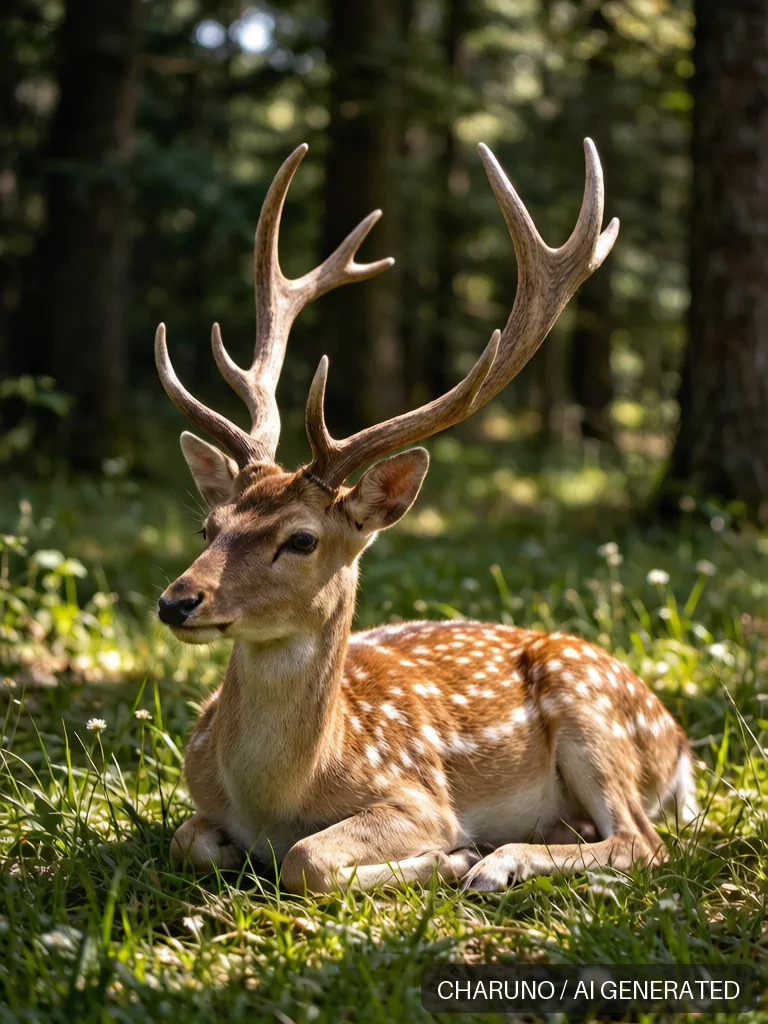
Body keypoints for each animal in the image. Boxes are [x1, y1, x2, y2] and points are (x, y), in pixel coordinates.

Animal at [154, 139, 699, 894]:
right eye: (210, 527)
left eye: (301, 539)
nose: (177, 601)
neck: (278, 798)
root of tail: (679, 743)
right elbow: (188, 840)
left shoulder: (418, 795)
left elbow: (307, 859)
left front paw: (451, 856)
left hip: (592, 711)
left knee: (642, 841)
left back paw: (495, 861)